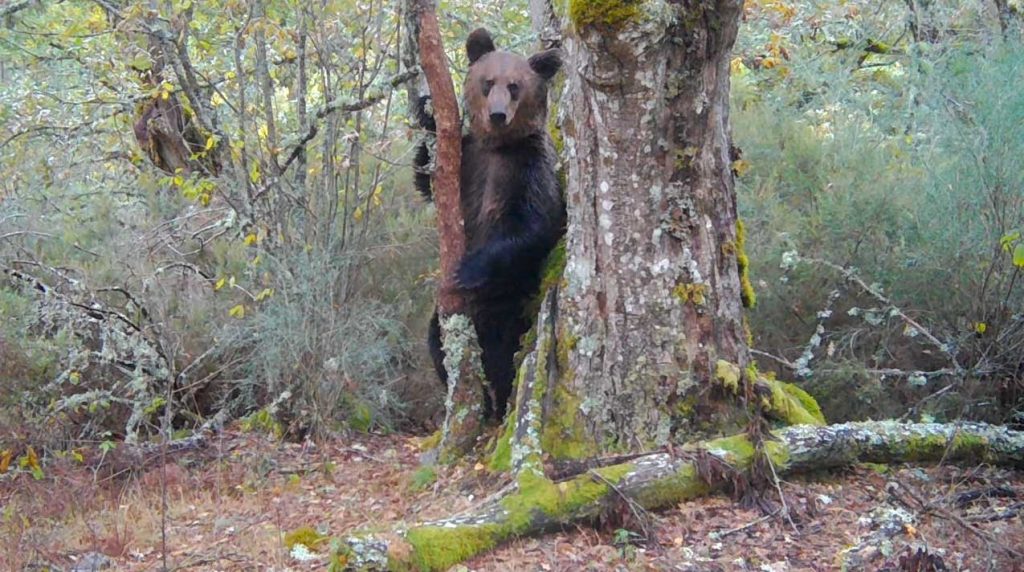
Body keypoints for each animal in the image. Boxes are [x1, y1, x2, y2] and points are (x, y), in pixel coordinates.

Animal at [413, 28, 565, 421]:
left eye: (514, 86)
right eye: (487, 82)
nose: (497, 115)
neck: (498, 147)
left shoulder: (529, 168)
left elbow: (535, 225)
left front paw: (468, 268)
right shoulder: (468, 161)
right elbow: (426, 180)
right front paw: (426, 111)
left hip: (511, 303)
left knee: (505, 352)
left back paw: (497, 405)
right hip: (448, 317)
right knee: (436, 341)